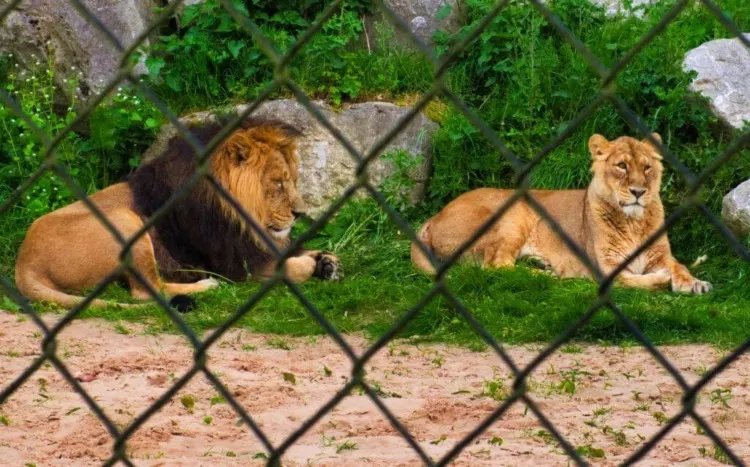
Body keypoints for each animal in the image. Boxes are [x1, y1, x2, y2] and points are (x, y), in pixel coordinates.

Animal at [16, 117, 342, 308]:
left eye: (292, 180)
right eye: (277, 183)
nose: (299, 213)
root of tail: (25, 262)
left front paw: (326, 261)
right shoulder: (237, 264)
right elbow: (284, 269)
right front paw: (309, 266)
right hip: (124, 220)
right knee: (148, 290)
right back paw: (205, 285)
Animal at [414, 133, 712, 294]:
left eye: (647, 167)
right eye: (622, 166)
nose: (639, 192)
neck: (634, 223)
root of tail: (434, 217)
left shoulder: (661, 255)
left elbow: (680, 266)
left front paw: (695, 283)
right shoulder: (605, 268)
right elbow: (632, 281)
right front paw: (662, 280)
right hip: (513, 214)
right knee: (496, 265)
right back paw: (550, 276)